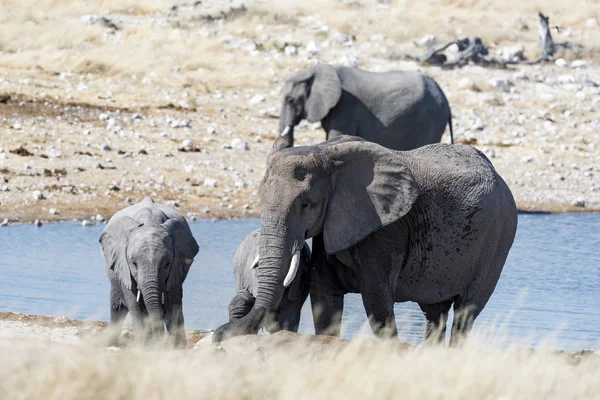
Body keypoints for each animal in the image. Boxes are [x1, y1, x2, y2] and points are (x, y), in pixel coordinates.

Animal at [99, 197, 199, 346]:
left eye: (167, 264)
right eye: (134, 263)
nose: (159, 340)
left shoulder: (177, 268)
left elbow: (172, 306)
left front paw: (177, 347)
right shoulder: (124, 267)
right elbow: (135, 306)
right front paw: (146, 346)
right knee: (118, 307)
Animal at [213, 136, 516, 346]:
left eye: (306, 204)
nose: (217, 334)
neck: (324, 149)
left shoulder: (386, 229)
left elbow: (376, 299)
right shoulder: (333, 225)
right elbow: (324, 298)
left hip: (498, 237)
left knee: (466, 311)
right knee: (435, 313)